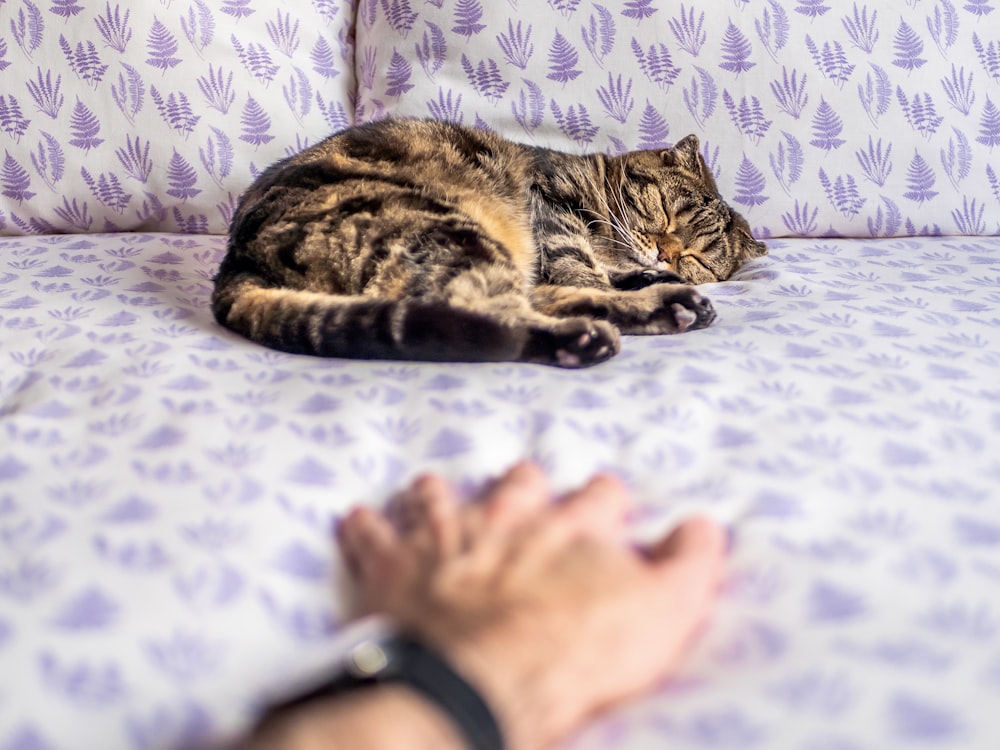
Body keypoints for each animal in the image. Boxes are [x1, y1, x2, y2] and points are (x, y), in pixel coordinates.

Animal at [213, 117, 764, 370]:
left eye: (697, 257)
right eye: (666, 213)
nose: (667, 253)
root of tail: (237, 259)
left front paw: (650, 275)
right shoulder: (552, 210)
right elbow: (582, 269)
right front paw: (630, 277)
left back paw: (671, 302)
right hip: (445, 230)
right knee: (499, 315)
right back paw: (609, 328)